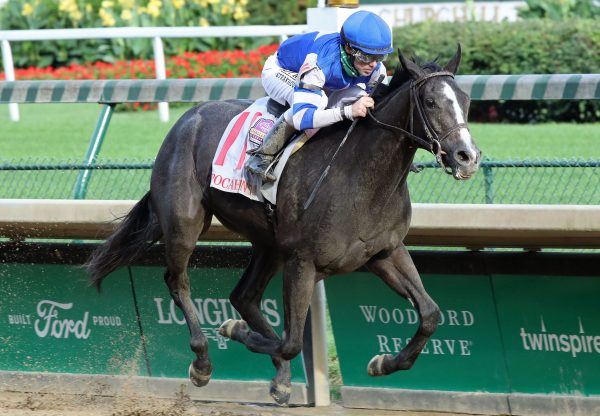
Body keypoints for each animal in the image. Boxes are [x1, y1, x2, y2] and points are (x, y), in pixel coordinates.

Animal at [85, 47, 478, 404]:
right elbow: (290, 342)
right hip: (185, 223)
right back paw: (203, 362)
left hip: (269, 243)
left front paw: (383, 363)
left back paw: (280, 379)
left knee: (243, 296)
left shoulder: (384, 252)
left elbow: (430, 314)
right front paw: (234, 330)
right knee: (178, 281)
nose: (467, 156)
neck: (361, 177)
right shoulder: (303, 261)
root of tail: (187, 119)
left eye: (465, 99)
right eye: (430, 102)